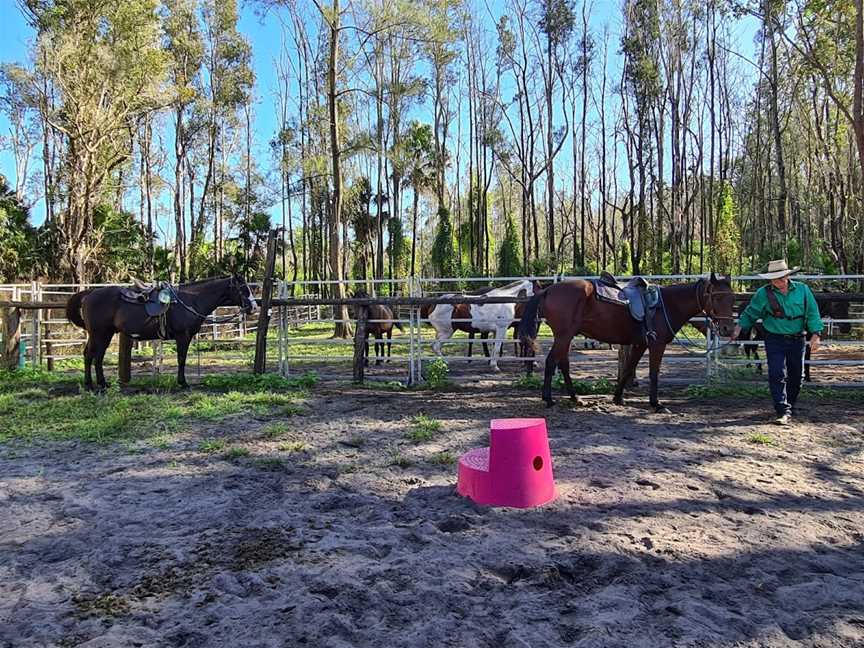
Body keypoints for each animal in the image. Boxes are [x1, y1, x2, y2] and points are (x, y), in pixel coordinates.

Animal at [64, 274, 256, 390]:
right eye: (243, 289)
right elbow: (181, 359)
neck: (191, 300)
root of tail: (89, 294)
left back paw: (98, 384)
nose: (253, 307)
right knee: (92, 355)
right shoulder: (182, 336)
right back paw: (95, 384)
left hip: (103, 334)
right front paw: (183, 383)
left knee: (93, 356)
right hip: (100, 333)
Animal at [520, 274, 736, 410]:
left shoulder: (641, 344)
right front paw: (656, 403)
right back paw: (549, 399)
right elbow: (654, 372)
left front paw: (618, 397)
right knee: (552, 361)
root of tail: (548, 290)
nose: (728, 329)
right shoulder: (657, 344)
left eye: (732, 298)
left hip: (566, 336)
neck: (667, 304)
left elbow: (628, 368)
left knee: (563, 363)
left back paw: (575, 398)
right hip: (564, 335)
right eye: (716, 298)